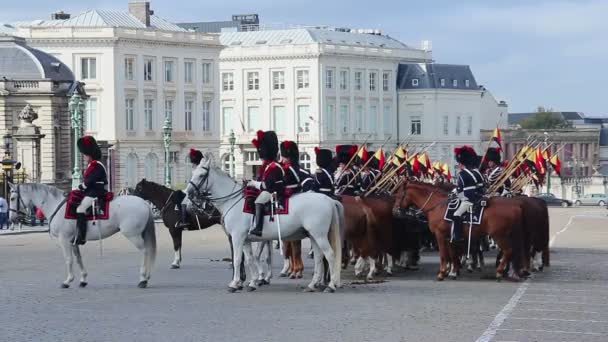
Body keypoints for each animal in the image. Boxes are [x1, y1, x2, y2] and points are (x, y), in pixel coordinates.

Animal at [9, 184, 157, 288]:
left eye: (12, 198)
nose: (11, 218)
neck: (56, 206)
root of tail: (144, 202)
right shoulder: (73, 241)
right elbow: (78, 259)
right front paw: (83, 279)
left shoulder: (64, 239)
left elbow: (69, 259)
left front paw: (68, 281)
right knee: (148, 251)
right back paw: (147, 277)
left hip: (133, 235)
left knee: (145, 251)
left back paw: (143, 278)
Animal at [185, 158, 342, 294]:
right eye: (193, 173)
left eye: (201, 175)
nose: (187, 193)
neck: (233, 201)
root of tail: (328, 199)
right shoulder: (245, 240)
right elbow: (250, 259)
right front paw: (253, 282)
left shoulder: (237, 237)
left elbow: (237, 259)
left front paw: (235, 284)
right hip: (313, 236)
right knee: (319, 257)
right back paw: (313, 284)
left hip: (319, 235)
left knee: (330, 254)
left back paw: (331, 285)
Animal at [392, 182, 524, 280]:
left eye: (399, 195)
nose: (395, 211)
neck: (437, 205)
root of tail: (515, 206)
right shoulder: (449, 237)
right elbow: (452, 254)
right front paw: (453, 272)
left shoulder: (440, 235)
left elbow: (444, 255)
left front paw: (442, 273)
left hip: (499, 236)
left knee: (508, 251)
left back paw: (500, 272)